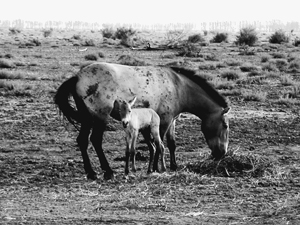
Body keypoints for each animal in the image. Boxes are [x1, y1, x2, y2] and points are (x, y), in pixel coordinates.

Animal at [54, 62, 230, 180]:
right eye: (225, 125)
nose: (222, 153)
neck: (178, 86)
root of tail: (77, 77)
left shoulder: (172, 120)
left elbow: (172, 143)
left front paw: (173, 166)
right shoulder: (164, 121)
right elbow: (160, 144)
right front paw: (156, 168)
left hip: (87, 119)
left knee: (82, 140)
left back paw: (91, 173)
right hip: (99, 118)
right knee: (95, 140)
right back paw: (108, 172)